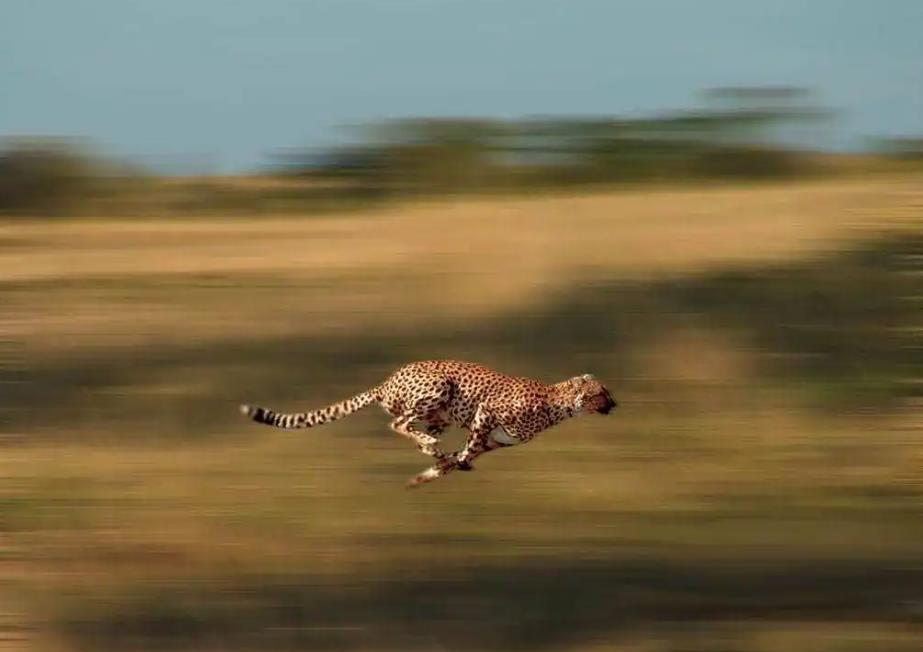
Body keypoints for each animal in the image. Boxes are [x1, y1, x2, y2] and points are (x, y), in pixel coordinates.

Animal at [238, 360, 616, 486]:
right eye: (602, 393)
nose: (615, 404)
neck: (557, 404)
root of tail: (388, 380)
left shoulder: (494, 441)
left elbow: (465, 454)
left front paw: (430, 475)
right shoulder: (485, 413)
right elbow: (470, 445)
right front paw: (444, 466)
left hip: (440, 417)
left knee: (416, 433)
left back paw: (435, 451)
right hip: (438, 389)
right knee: (399, 424)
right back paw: (432, 446)